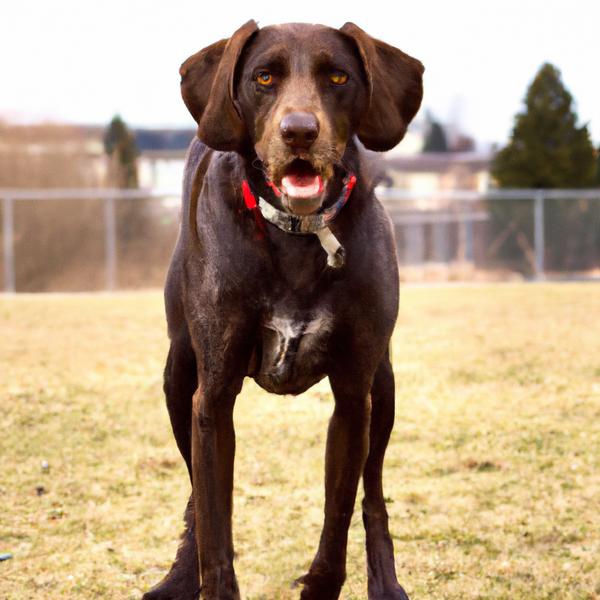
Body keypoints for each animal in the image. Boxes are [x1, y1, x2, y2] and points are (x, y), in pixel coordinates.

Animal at [142, 19, 422, 600]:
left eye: (338, 76)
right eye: (264, 77)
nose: (299, 132)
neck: (298, 235)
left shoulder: (353, 398)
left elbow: (340, 515)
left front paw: (322, 584)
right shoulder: (212, 398)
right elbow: (213, 526)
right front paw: (202, 574)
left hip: (383, 388)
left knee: (374, 493)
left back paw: (385, 581)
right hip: (178, 375)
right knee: (195, 497)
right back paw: (178, 576)